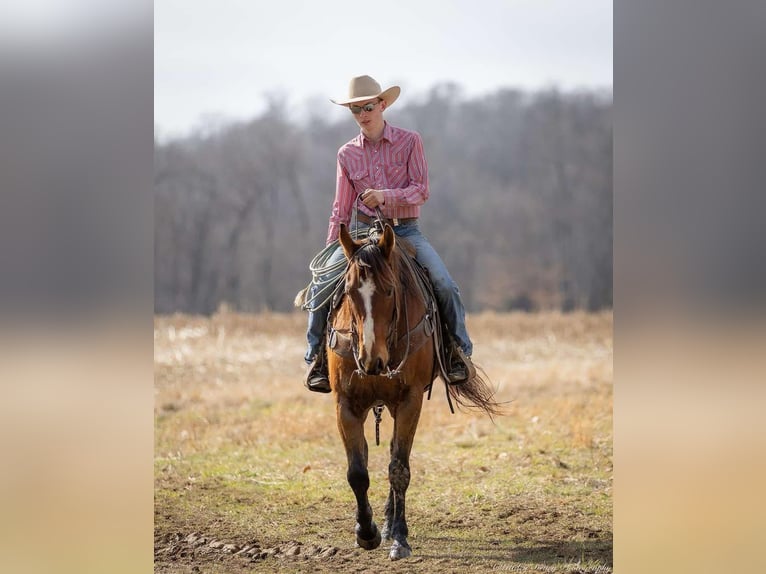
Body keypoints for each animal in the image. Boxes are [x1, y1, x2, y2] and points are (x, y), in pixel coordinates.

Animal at [326, 222, 500, 564]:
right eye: (349, 292)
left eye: (389, 290)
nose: (371, 359)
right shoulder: (345, 404)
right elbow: (357, 471)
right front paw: (365, 533)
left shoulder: (410, 401)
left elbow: (399, 469)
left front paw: (399, 538)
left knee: (396, 453)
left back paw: (390, 523)